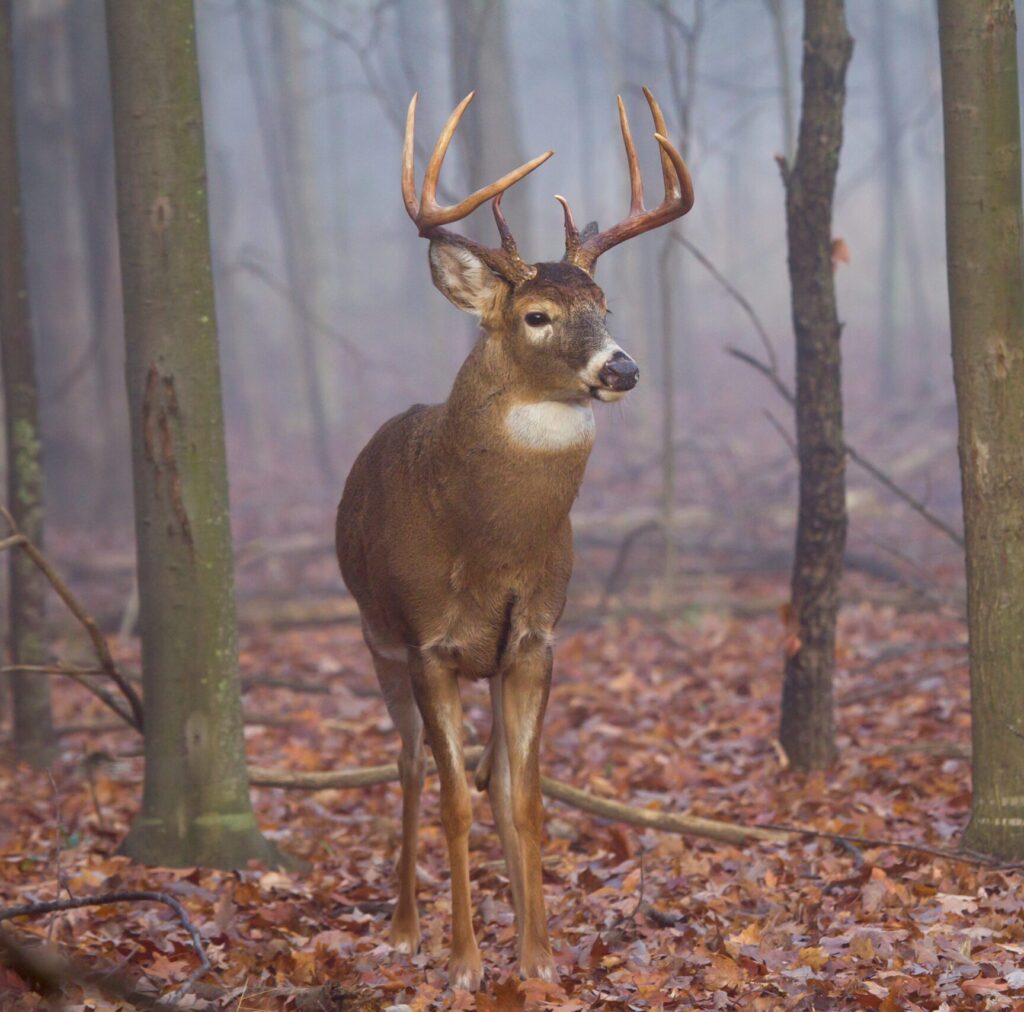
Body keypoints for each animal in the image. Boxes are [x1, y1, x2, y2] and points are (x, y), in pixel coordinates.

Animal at [335, 88, 693, 990]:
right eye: (537, 316)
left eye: (605, 306)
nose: (621, 369)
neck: (487, 540)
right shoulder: (427, 641)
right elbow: (457, 799)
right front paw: (463, 962)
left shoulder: (533, 638)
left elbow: (521, 797)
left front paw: (538, 958)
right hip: (374, 635)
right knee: (411, 766)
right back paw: (404, 929)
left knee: (491, 776)